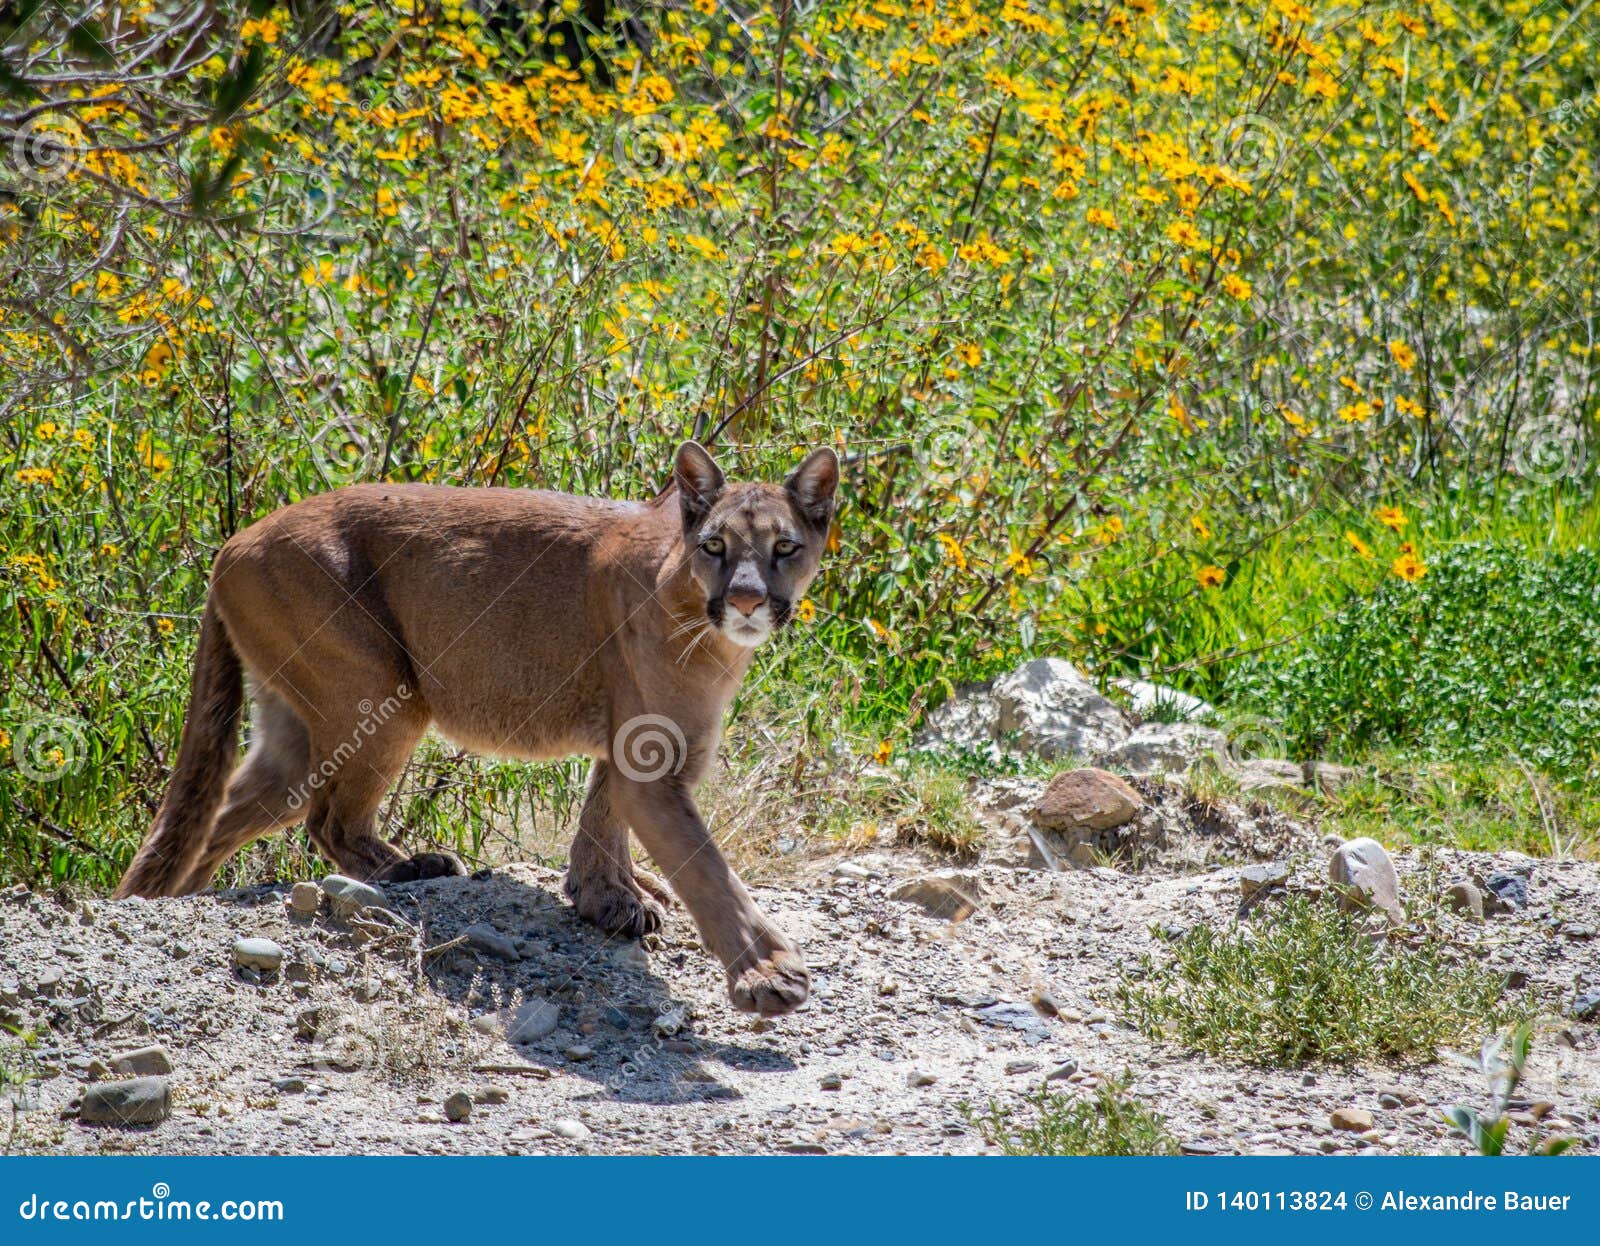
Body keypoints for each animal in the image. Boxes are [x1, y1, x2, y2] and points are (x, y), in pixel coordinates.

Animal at [116, 444, 838, 1017]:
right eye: (715, 547)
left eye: (784, 548)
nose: (746, 599)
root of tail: (232, 542)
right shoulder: (654, 760)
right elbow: (710, 872)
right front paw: (768, 975)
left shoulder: (633, 744)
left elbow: (603, 813)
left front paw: (607, 895)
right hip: (385, 696)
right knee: (328, 819)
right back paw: (409, 868)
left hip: (295, 731)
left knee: (225, 813)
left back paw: (174, 898)